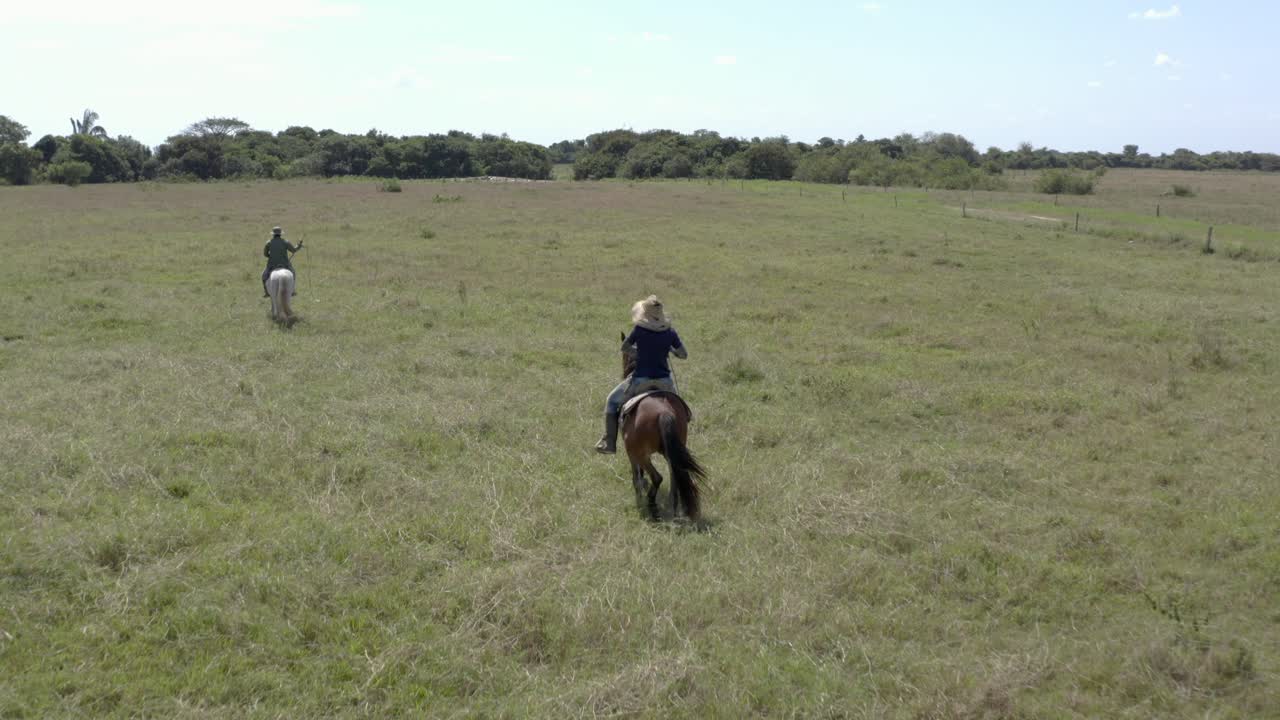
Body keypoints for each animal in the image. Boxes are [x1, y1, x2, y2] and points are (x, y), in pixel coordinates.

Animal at [618, 333, 706, 523]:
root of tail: (664, 412)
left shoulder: (633, 454)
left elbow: (636, 474)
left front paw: (639, 497)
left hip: (640, 453)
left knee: (657, 477)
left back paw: (652, 507)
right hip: (672, 452)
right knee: (675, 478)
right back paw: (674, 508)